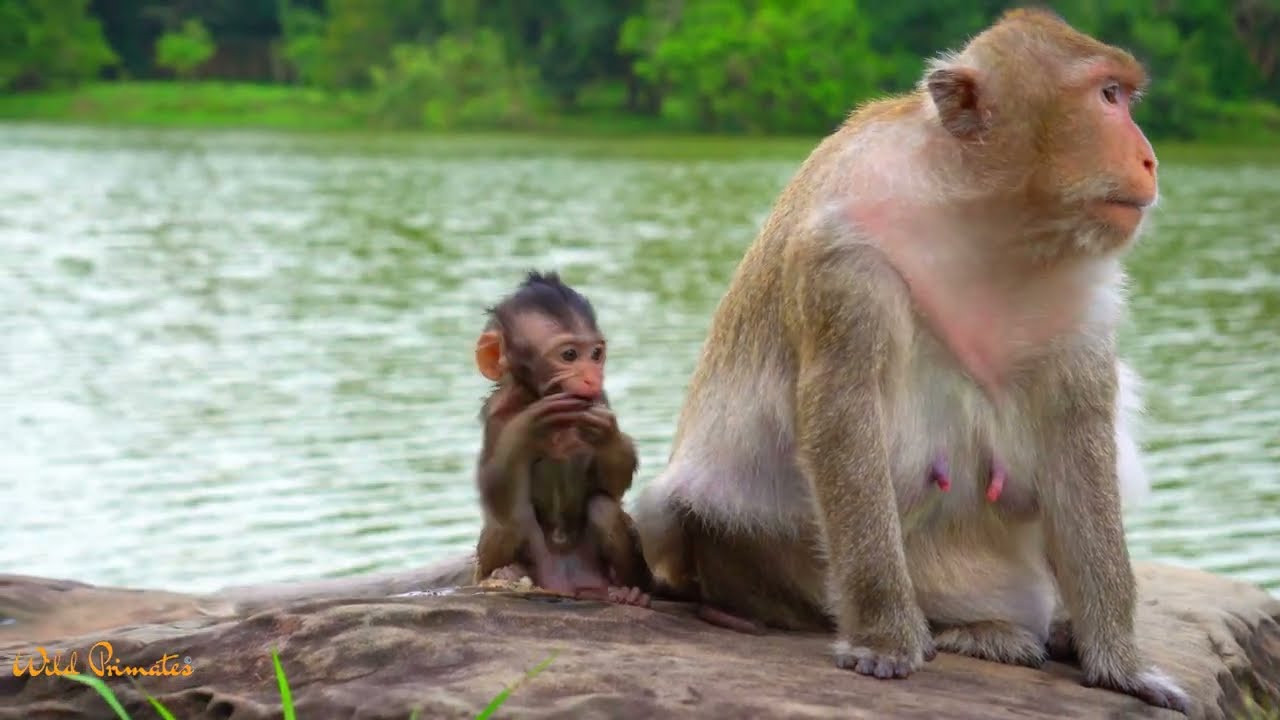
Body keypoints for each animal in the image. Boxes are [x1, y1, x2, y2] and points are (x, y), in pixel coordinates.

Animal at [471, 271, 653, 607]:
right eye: (569, 355)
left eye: (596, 354)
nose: (593, 377)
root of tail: (567, 584)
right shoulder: (497, 415)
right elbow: (494, 489)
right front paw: (529, 425)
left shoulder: (601, 399)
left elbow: (612, 484)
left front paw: (606, 434)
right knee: (508, 520)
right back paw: (505, 574)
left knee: (603, 508)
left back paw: (628, 591)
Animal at [631, 8, 1188, 713]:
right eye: (1107, 96)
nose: (1150, 157)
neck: (986, 223)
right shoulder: (844, 253)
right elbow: (844, 415)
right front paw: (885, 636)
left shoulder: (1085, 296)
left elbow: (1078, 441)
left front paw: (1121, 661)